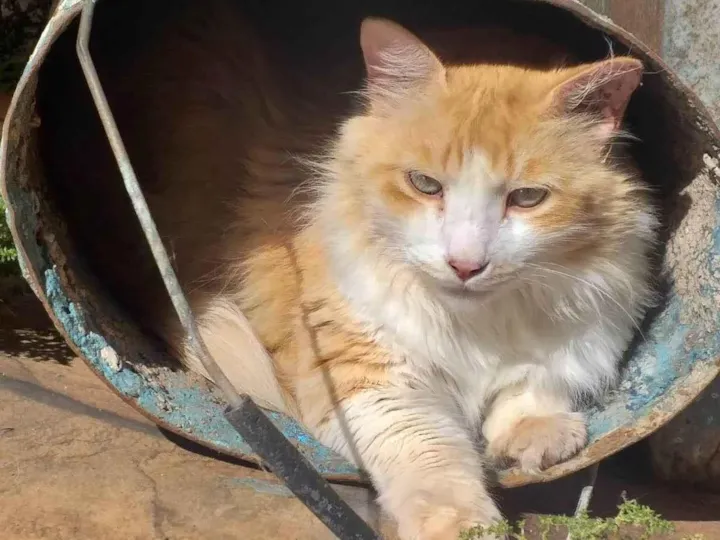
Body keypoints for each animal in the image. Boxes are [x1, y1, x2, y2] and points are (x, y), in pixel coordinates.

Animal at [41, 5, 657, 539]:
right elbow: (432, 462)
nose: (465, 265)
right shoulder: (366, 377)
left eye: (528, 198)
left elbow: (535, 383)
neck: (476, 325)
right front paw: (465, 526)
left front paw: (537, 435)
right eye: (424, 185)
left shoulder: (588, 326)